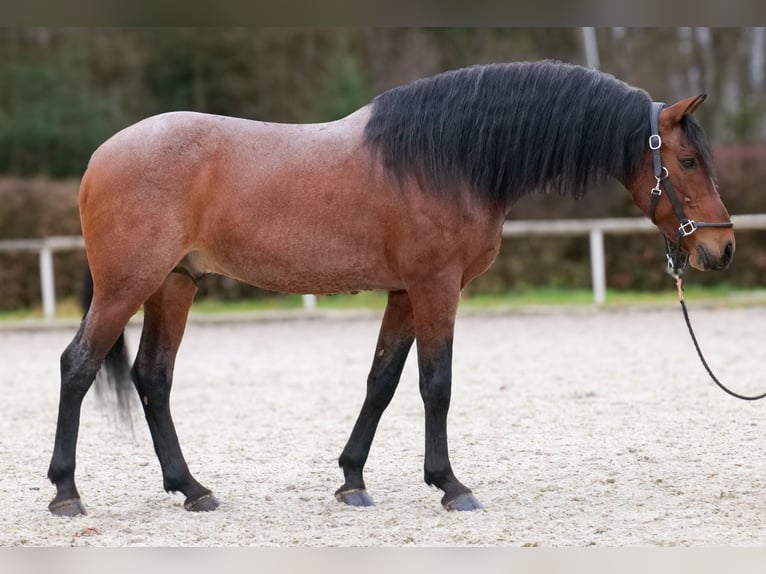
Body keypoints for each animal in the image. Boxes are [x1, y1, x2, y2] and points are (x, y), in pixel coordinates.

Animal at [47, 60, 735, 516]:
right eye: (688, 161)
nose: (721, 249)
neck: (448, 157)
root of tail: (101, 156)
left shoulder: (405, 293)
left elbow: (382, 381)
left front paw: (352, 480)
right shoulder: (436, 288)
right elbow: (436, 385)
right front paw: (451, 485)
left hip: (174, 284)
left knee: (153, 377)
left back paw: (191, 489)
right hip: (127, 285)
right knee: (78, 365)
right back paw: (66, 492)